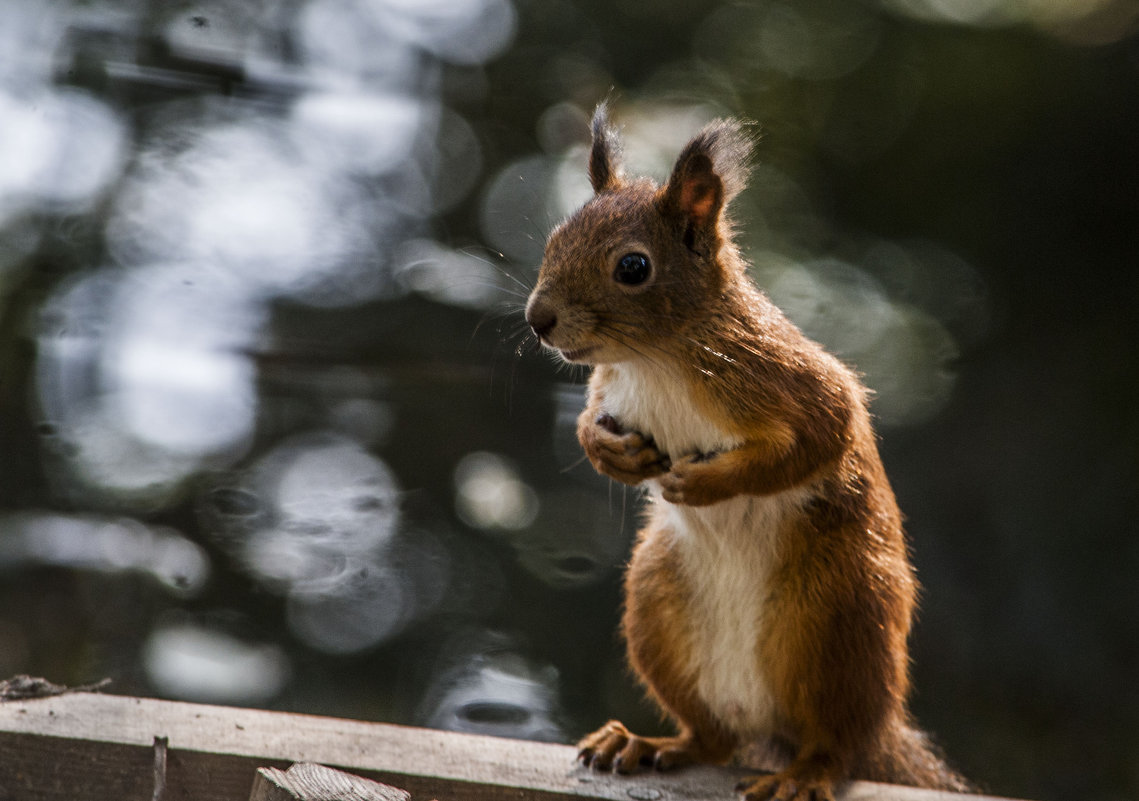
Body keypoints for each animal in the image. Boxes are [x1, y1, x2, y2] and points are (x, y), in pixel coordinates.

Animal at [523, 108, 970, 801]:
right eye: (555, 238)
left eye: (633, 267)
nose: (537, 319)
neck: (656, 360)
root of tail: (761, 718)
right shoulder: (611, 386)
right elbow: (588, 427)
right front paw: (612, 453)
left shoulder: (782, 377)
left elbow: (819, 436)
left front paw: (705, 485)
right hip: (657, 608)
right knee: (711, 737)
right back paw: (649, 744)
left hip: (836, 621)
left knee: (837, 742)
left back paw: (806, 772)